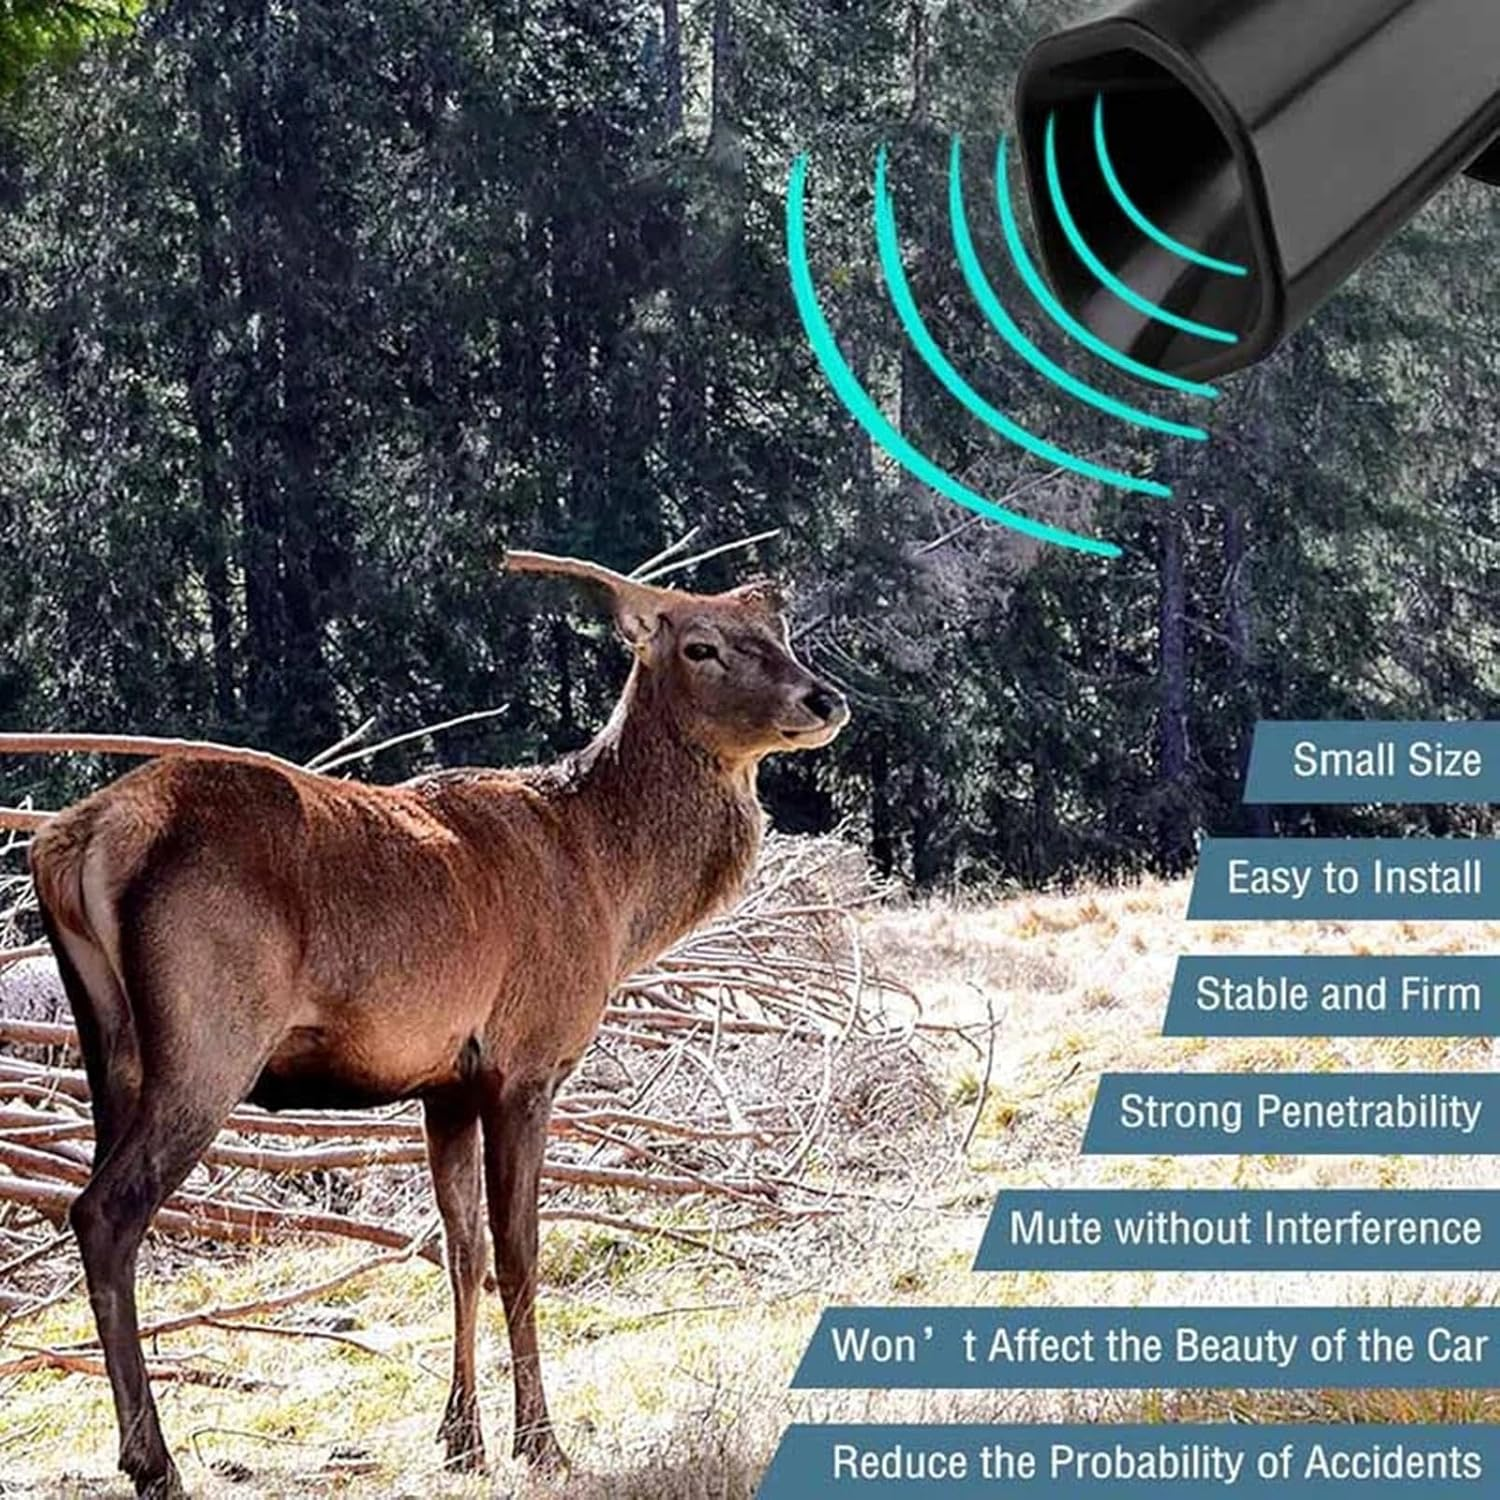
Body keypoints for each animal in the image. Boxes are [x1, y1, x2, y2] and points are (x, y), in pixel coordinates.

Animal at [22, 547, 848, 1499]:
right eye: (701, 647)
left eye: (780, 633)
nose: (823, 700)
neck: (612, 888)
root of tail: (71, 841)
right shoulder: (527, 1058)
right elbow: (521, 1250)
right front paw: (541, 1442)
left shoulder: (445, 1080)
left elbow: (460, 1251)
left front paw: (461, 1439)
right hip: (210, 1036)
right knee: (105, 1209)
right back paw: (153, 1460)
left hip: (106, 1048)